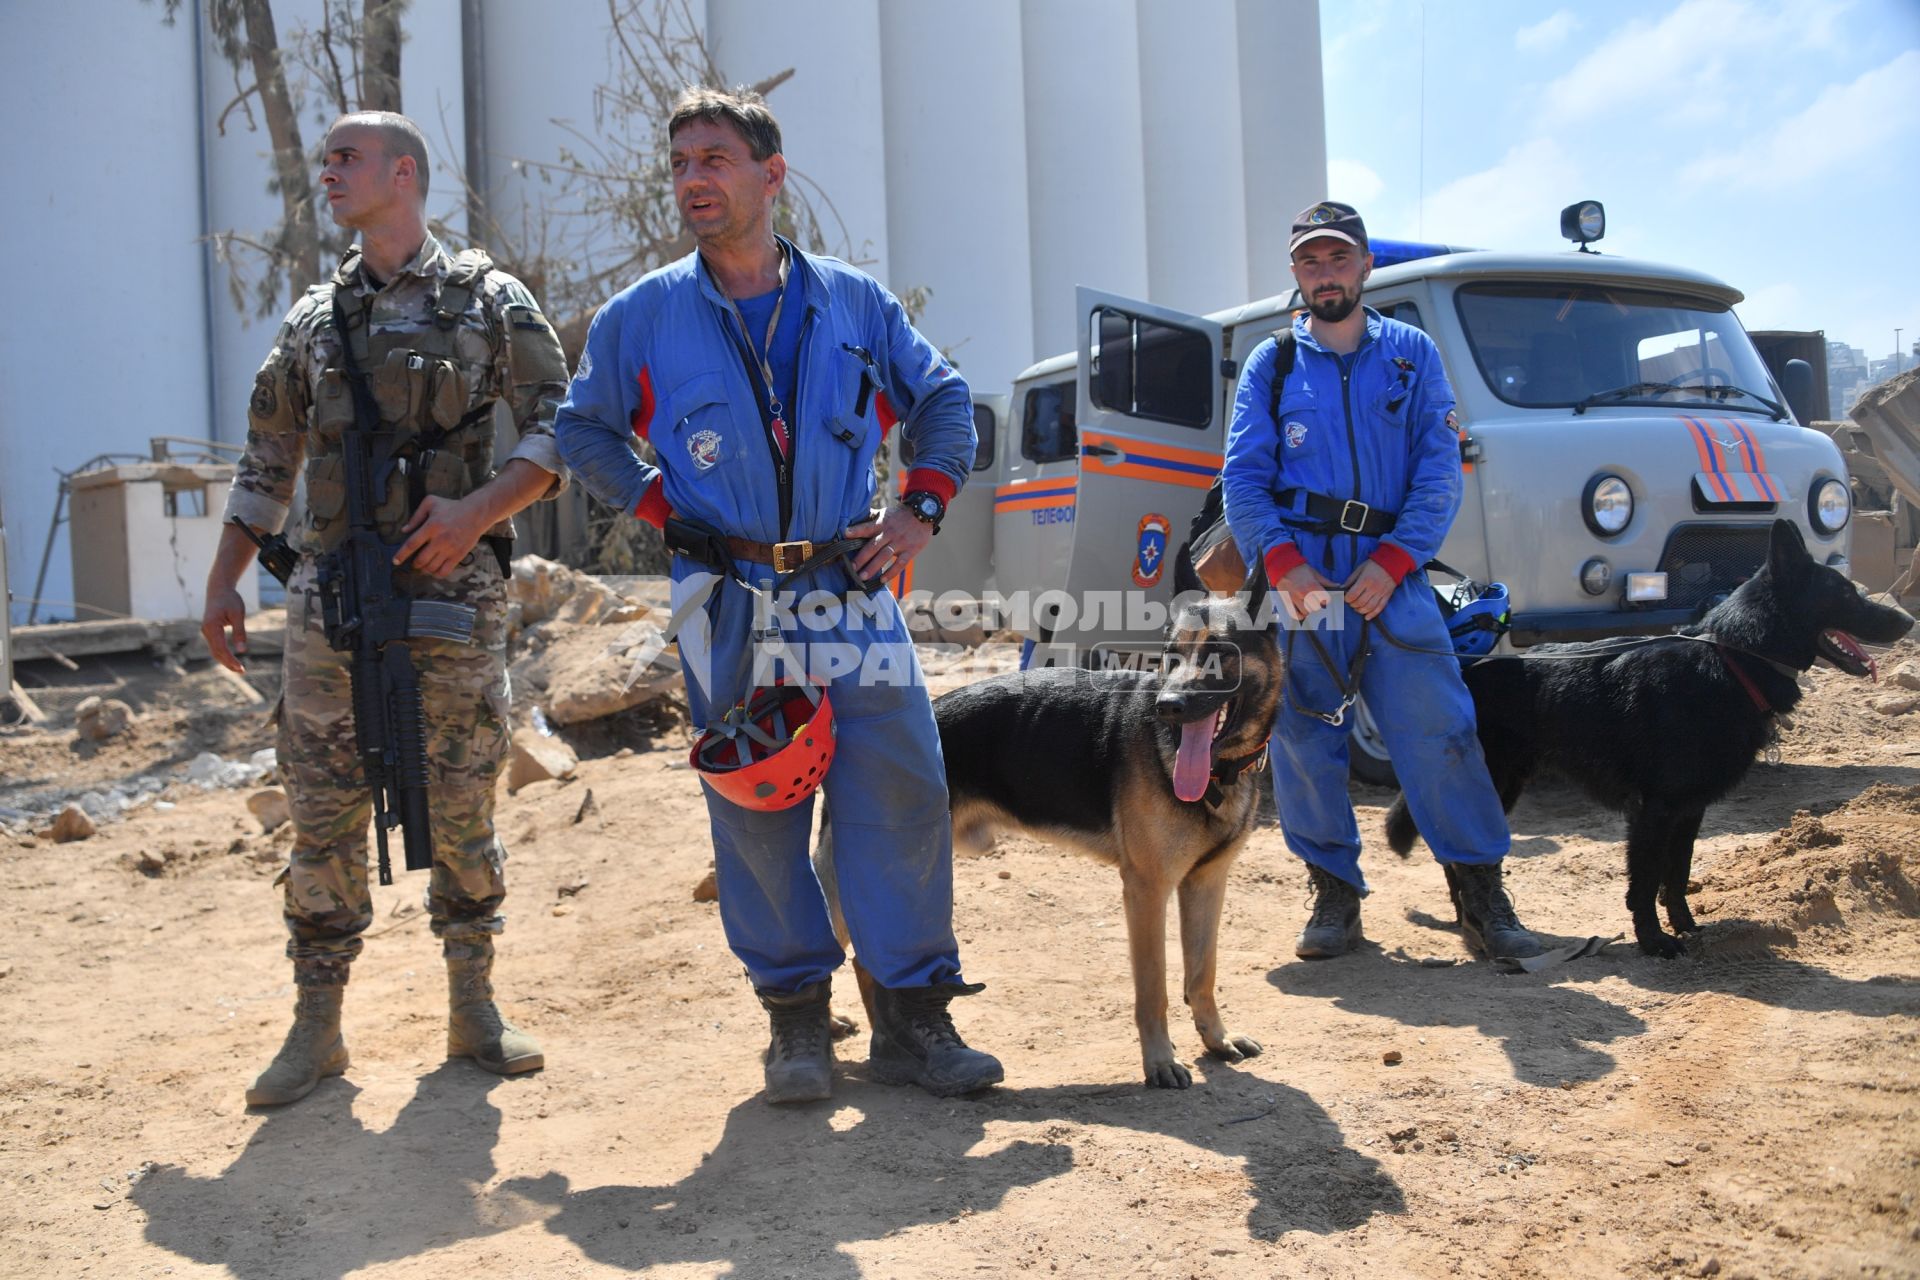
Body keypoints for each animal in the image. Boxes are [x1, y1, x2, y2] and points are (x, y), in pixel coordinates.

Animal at [817, 564, 1282, 1090]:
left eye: (1221, 654)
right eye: (1171, 656)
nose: (1168, 706)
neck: (1219, 772)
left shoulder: (1207, 884)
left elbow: (1202, 974)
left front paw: (1216, 1039)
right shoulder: (1146, 890)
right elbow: (1154, 989)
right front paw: (1160, 1061)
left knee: (865, 957)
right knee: (844, 950)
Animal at [1390, 514, 1912, 955]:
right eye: (1845, 595)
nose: (1908, 620)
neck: (1730, 659)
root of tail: (1467, 667)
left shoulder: (1689, 810)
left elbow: (1676, 876)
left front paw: (1685, 926)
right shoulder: (1653, 811)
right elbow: (1643, 883)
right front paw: (1653, 941)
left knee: (1455, 852)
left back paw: (1469, 920)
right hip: (1493, 785)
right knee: (1456, 852)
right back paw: (1474, 922)